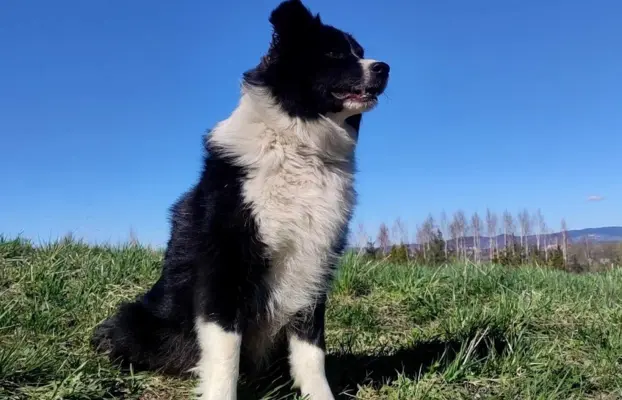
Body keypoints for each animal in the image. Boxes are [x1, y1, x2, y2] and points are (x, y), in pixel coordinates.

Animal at [92, 1, 390, 398]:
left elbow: (312, 350)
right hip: (133, 319)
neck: (297, 147)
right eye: (333, 54)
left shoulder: (314, 260)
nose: (384, 67)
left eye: (360, 52)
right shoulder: (226, 264)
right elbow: (224, 351)